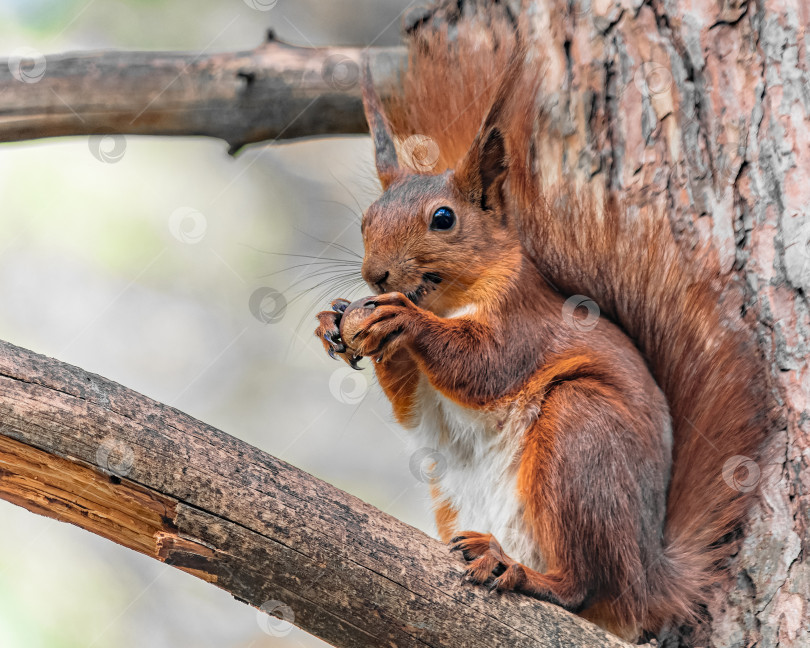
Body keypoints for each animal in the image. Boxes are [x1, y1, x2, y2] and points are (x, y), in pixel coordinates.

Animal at [312, 15, 768, 644]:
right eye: (365, 221)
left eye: (444, 219)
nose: (374, 274)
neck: (451, 302)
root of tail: (648, 579)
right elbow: (411, 400)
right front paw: (334, 321)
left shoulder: (524, 321)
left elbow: (485, 367)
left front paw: (401, 319)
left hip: (580, 434)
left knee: (581, 586)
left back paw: (519, 571)